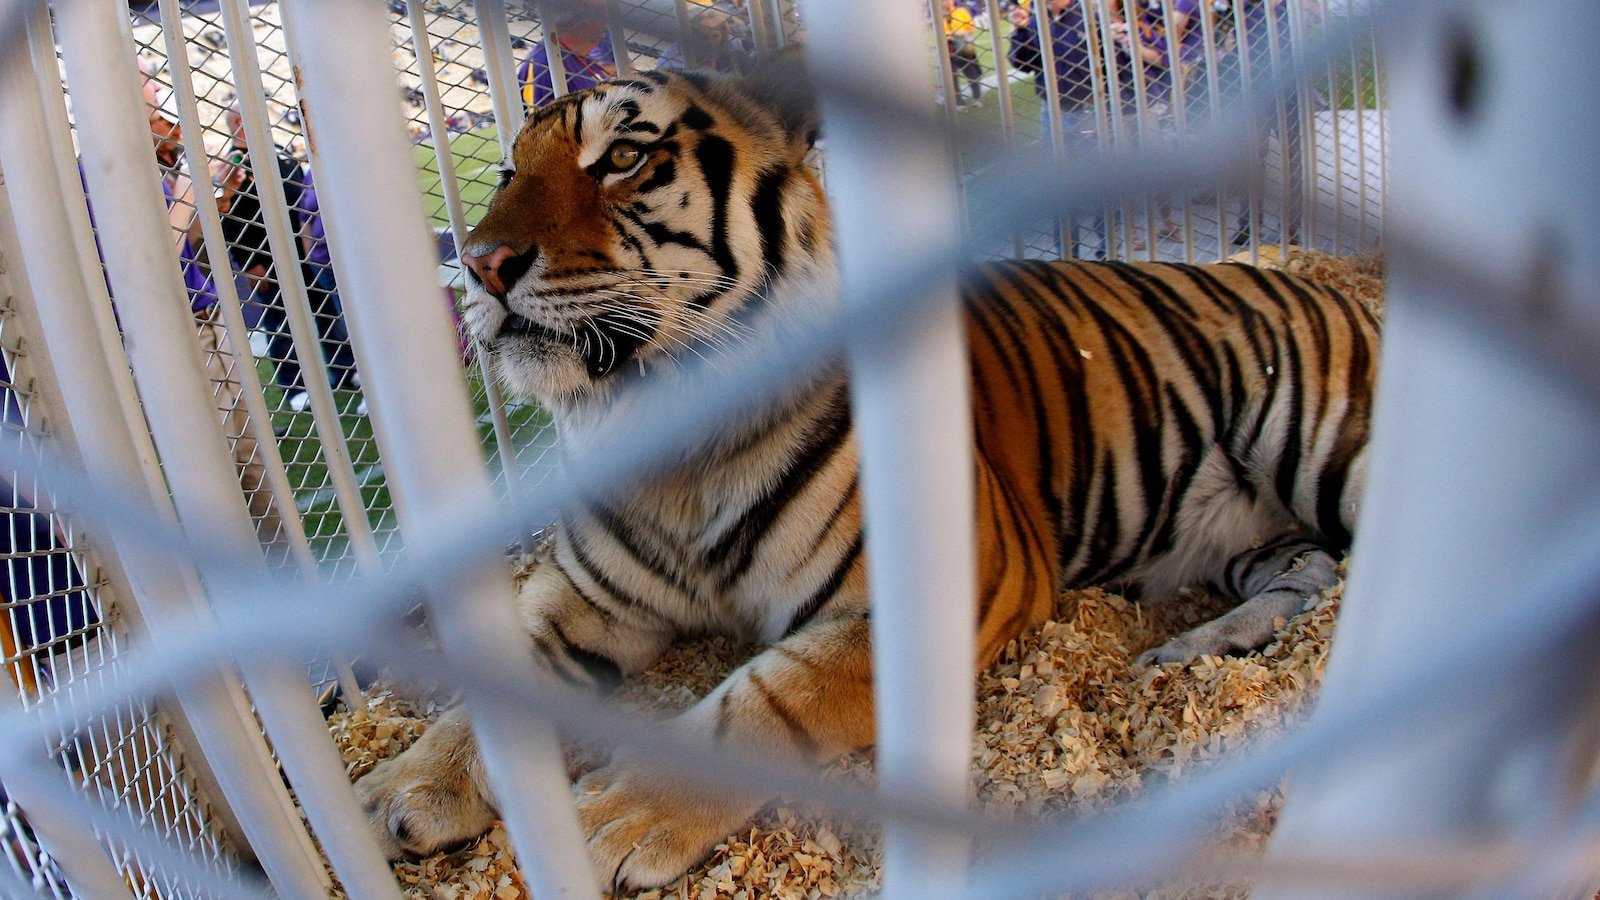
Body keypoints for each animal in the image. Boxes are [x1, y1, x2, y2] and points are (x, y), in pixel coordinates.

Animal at [356, 52, 1382, 883]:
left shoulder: (943, 593)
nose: (481, 263)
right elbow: (496, 684)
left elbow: (760, 703)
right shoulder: (582, 594)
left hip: (1323, 445)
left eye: (623, 157)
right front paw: (401, 788)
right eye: (506, 172)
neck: (667, 447)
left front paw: (610, 815)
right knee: (1309, 571)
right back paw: (1194, 649)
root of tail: (1312, 280)